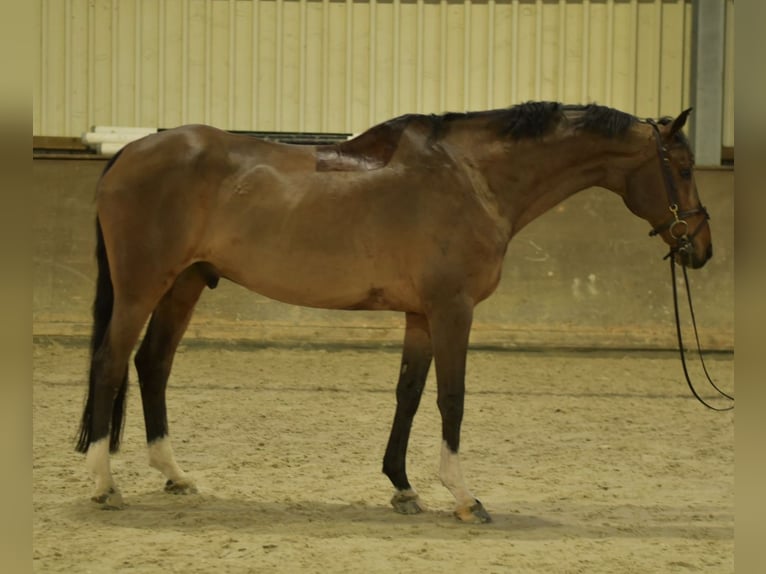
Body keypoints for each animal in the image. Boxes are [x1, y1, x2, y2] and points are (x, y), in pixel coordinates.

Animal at [75, 101, 711, 523]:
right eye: (682, 167)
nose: (700, 249)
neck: (473, 177)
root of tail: (130, 151)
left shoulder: (421, 315)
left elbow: (408, 393)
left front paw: (403, 487)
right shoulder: (452, 310)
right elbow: (451, 397)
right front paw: (464, 496)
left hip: (184, 285)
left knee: (152, 364)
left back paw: (175, 475)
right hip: (142, 287)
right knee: (111, 363)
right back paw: (105, 486)